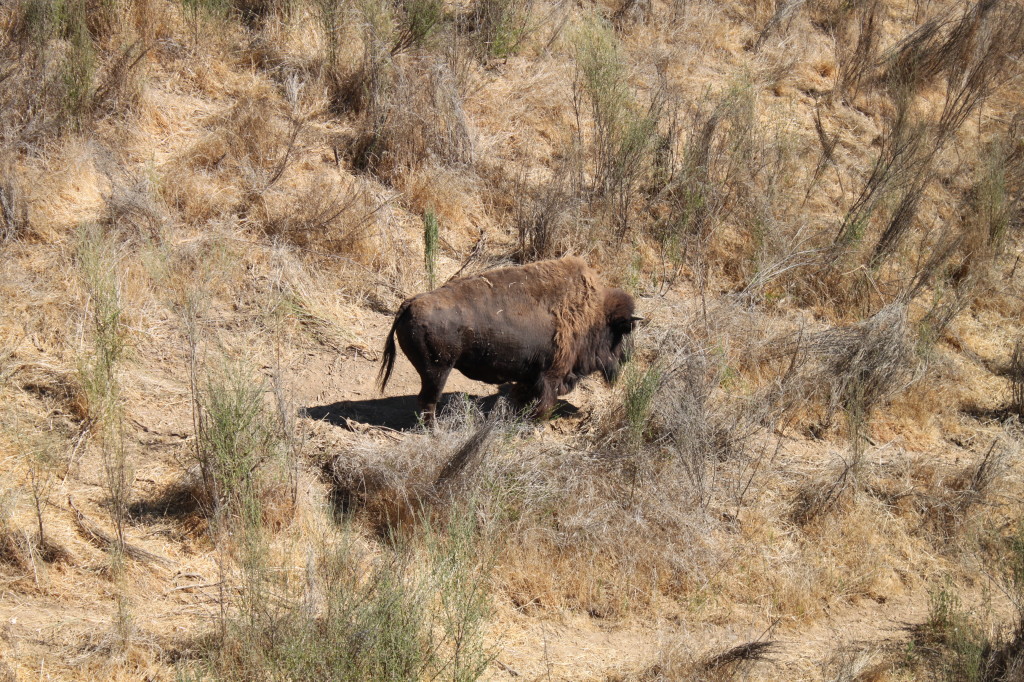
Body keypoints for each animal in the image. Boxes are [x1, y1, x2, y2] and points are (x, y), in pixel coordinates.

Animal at [376, 258, 638, 421]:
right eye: (622, 332)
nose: (625, 358)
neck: (593, 316)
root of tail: (410, 302)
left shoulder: (530, 377)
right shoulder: (550, 377)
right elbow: (544, 403)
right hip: (438, 370)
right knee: (428, 400)